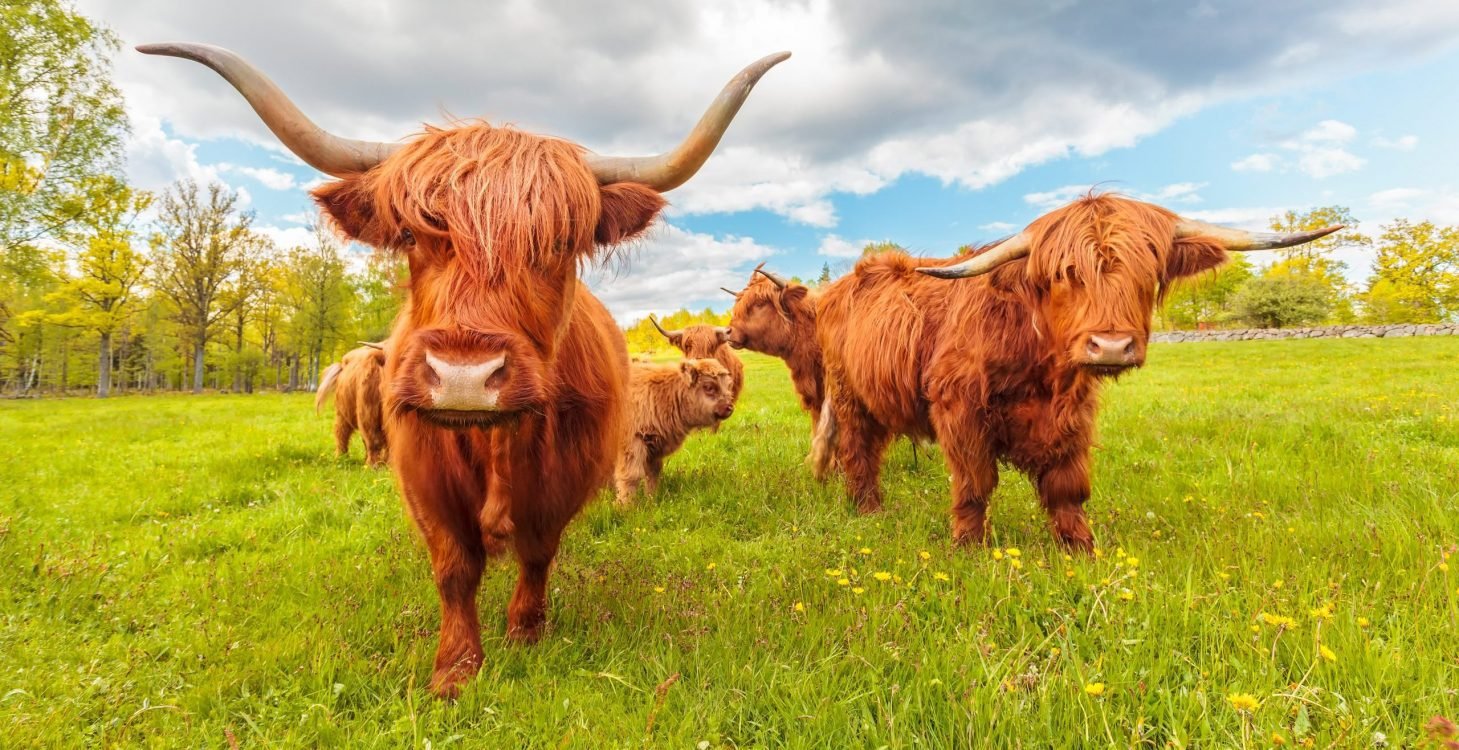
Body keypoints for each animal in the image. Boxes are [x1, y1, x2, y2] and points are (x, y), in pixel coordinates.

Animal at [614, 357, 735, 506]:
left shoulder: (653, 449)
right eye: (709, 387)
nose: (729, 407)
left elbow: (653, 473)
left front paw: (652, 499)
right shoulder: (632, 444)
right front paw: (625, 506)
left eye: (728, 386)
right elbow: (631, 476)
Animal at [816, 194, 1340, 552]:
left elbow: (1068, 488)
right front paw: (969, 548)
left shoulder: (1074, 414)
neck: (1042, 371)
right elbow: (974, 484)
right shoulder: (958, 407)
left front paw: (1080, 551)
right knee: (858, 452)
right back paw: (868, 510)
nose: (1110, 346)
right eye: (1064, 274)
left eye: (1146, 272)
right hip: (847, 395)